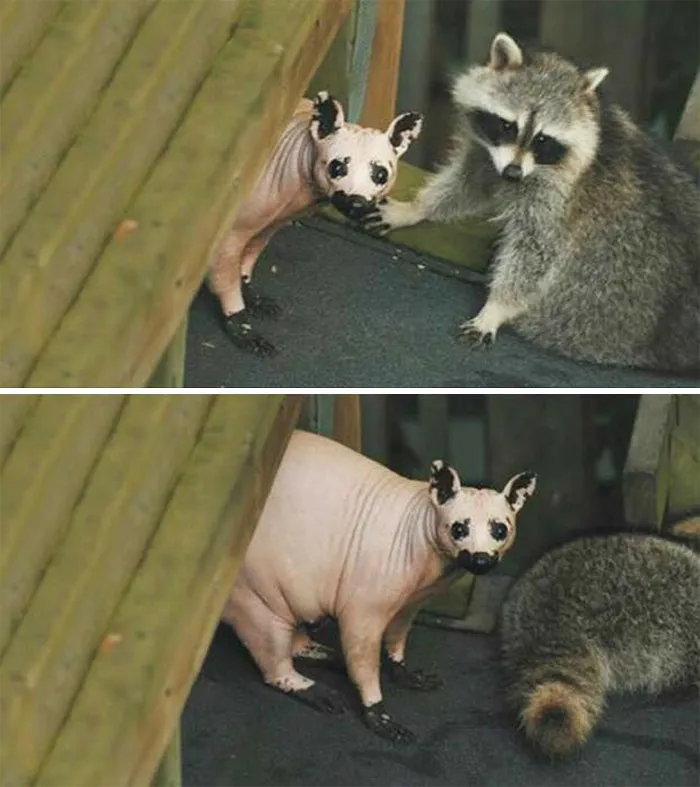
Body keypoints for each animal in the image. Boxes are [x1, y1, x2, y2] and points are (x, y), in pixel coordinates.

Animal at [359, 33, 700, 376]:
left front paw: (496, 308)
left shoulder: (558, 197)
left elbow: (536, 252)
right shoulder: (487, 153)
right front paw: (416, 209)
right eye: (508, 126)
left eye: (542, 140)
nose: (512, 174)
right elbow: (468, 185)